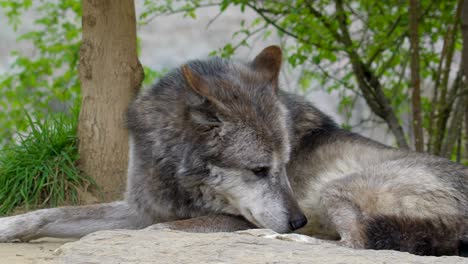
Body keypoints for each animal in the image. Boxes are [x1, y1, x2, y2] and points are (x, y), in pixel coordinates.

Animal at [0, 46, 468, 256]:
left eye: (286, 165)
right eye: (259, 170)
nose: (297, 219)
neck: (175, 170)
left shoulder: (217, 218)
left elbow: (154, 231)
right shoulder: (139, 207)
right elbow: (47, 213)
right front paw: (8, 226)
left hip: (340, 188)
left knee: (356, 244)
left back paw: (286, 240)